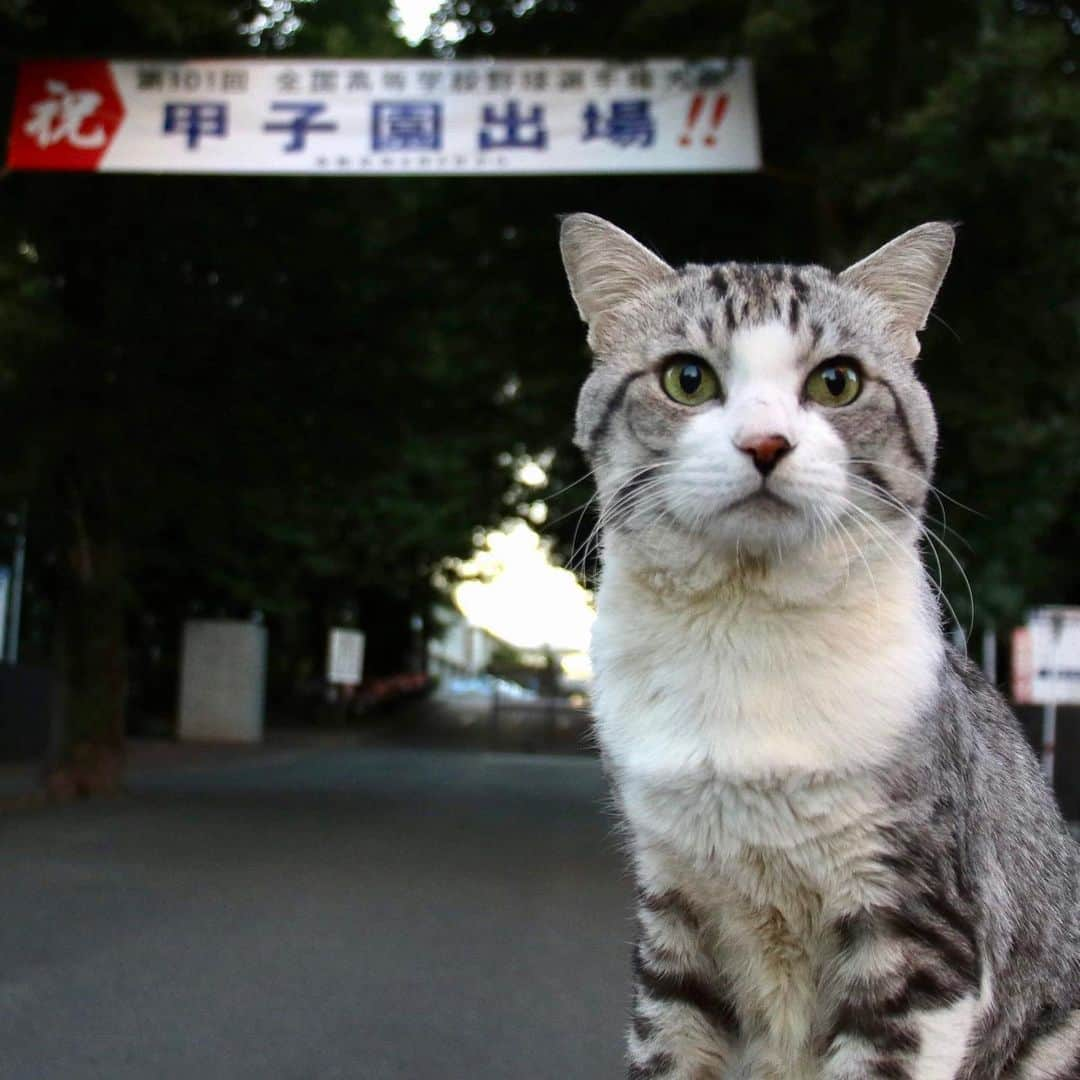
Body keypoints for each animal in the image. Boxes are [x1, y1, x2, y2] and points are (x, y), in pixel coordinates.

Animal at [561, 212, 1080, 1080]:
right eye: (687, 379)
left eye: (837, 382)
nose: (766, 443)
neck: (746, 626)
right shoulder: (674, 922)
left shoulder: (919, 932)